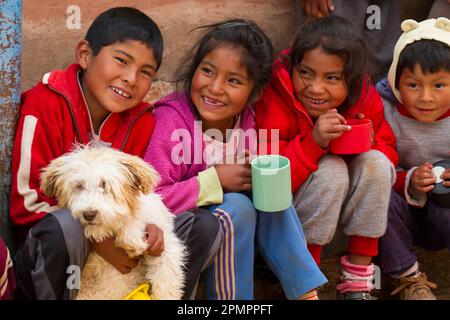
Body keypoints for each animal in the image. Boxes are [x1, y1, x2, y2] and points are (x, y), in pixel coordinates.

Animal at [39, 146, 185, 300]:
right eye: (79, 186)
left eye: (104, 184)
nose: (89, 214)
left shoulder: (162, 240)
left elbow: (166, 274)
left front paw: (131, 236)